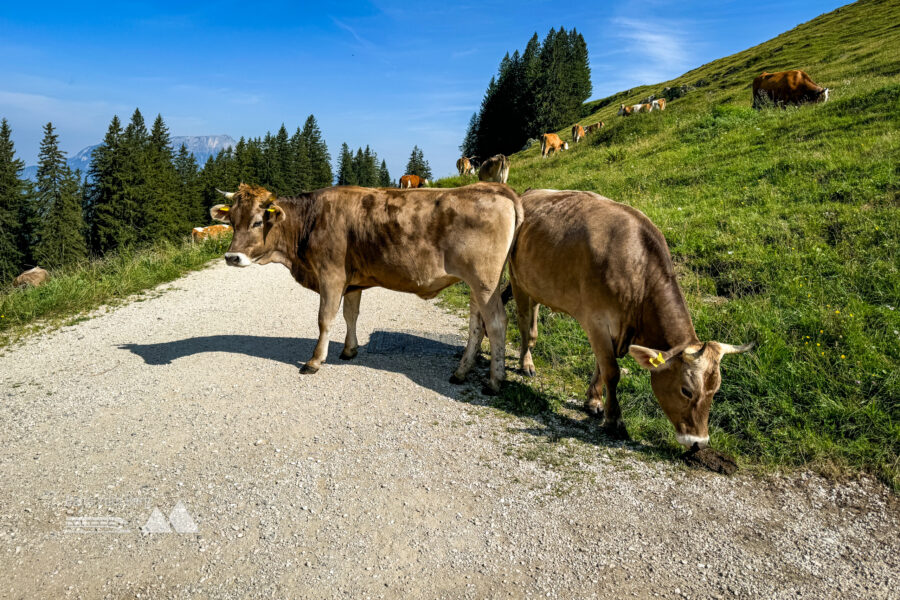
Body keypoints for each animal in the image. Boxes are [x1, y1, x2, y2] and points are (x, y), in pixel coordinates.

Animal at [212, 182, 520, 394]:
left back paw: (495, 381)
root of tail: (495, 188)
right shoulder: (352, 281)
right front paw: (350, 350)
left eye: (257, 222)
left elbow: (325, 319)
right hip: (476, 285)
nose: (232, 257)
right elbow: (351, 315)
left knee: (496, 323)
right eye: (231, 222)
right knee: (476, 325)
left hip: (485, 281)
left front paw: (314, 361)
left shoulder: (331, 275)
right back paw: (461, 372)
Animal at [506, 190, 752, 448]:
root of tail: (529, 193)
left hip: (535, 283)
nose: (699, 442)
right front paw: (614, 420)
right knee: (523, 323)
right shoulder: (596, 321)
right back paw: (526, 362)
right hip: (516, 278)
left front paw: (594, 401)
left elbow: (600, 366)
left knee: (532, 316)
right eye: (686, 390)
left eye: (715, 391)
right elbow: (611, 371)